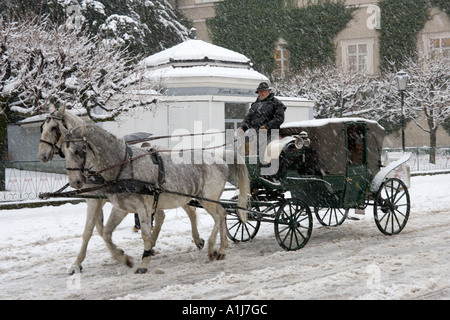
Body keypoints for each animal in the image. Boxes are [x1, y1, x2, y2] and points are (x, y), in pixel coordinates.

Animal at [38, 104, 204, 274]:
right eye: (42, 127)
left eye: (53, 127)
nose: (42, 155)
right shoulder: (95, 199)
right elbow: (93, 231)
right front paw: (78, 263)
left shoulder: (100, 200)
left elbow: (96, 230)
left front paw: (120, 255)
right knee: (163, 216)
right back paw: (153, 245)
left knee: (190, 211)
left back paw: (195, 240)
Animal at [59, 121, 250, 274]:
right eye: (63, 152)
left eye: (78, 151)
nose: (75, 182)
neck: (123, 166)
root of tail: (219, 156)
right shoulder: (121, 207)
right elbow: (105, 233)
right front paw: (124, 258)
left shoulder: (142, 207)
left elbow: (144, 234)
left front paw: (144, 262)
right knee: (221, 214)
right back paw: (221, 249)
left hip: (207, 198)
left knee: (218, 216)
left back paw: (212, 248)